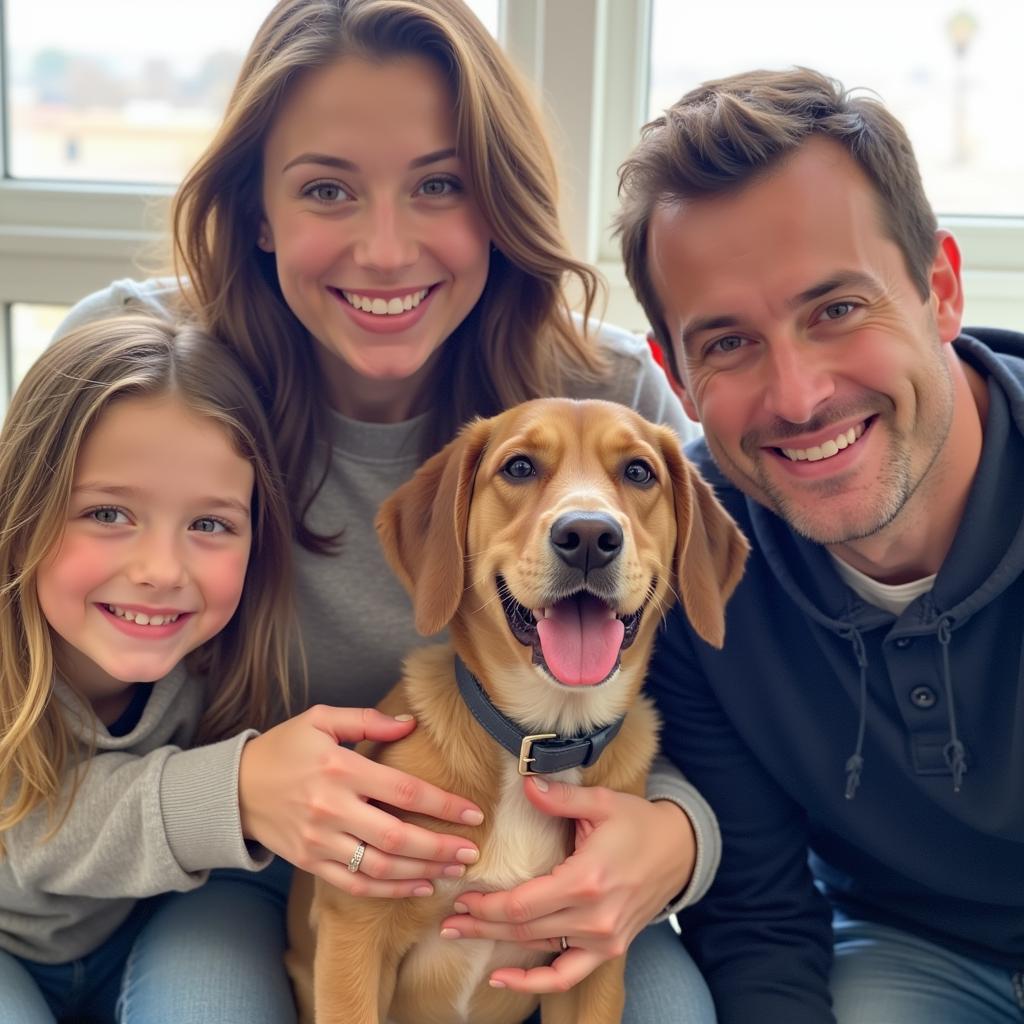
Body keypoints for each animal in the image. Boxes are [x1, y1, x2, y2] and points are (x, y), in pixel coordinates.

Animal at [284, 397, 749, 1024]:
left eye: (638, 472)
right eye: (520, 467)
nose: (587, 534)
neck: (544, 735)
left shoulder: (592, 965)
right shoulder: (354, 937)